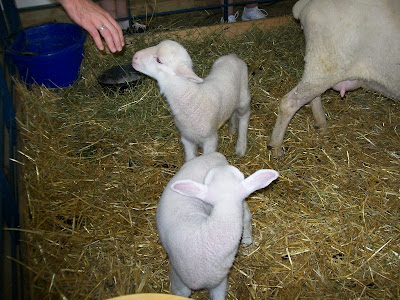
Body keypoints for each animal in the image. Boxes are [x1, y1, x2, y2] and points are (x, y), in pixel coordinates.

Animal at [156, 154, 278, 298]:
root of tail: (214, 155)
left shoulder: (220, 282)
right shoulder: (178, 277)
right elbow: (182, 292)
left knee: (246, 218)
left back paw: (248, 243)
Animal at [268, 0, 400, 158]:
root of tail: (305, 4)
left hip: (322, 67)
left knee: (311, 96)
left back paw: (321, 124)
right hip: (326, 62)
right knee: (289, 102)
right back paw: (275, 148)